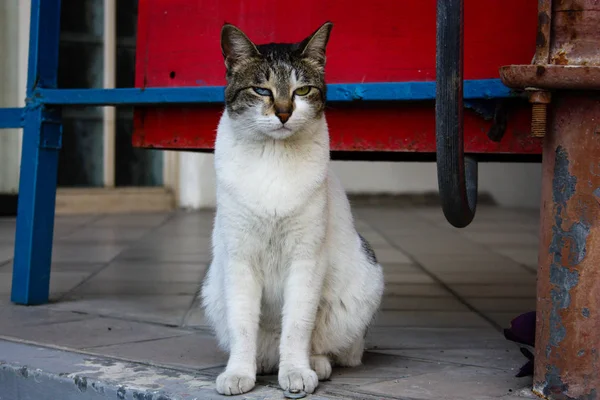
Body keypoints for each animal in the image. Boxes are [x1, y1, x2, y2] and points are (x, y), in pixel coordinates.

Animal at [199, 22, 382, 396]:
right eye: (261, 90)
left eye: (303, 90)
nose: (284, 112)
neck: (274, 157)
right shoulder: (240, 258)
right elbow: (243, 326)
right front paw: (239, 373)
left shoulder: (306, 258)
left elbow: (297, 325)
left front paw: (296, 372)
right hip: (213, 290)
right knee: (262, 344)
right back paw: (262, 363)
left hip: (362, 287)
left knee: (328, 347)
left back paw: (315, 365)